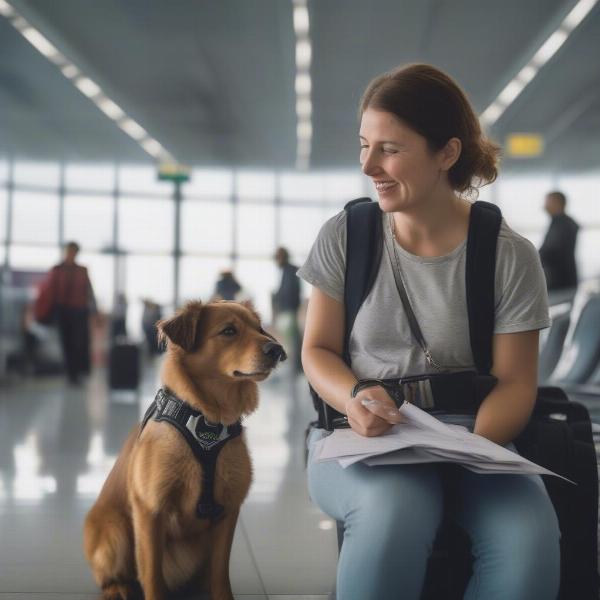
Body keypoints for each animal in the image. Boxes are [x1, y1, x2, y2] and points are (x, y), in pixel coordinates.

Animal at [84, 300, 286, 600]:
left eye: (259, 328)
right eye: (229, 331)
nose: (278, 350)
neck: (207, 421)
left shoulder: (228, 510)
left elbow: (220, 573)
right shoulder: (150, 510)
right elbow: (152, 575)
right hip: (114, 529)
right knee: (111, 576)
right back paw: (117, 588)